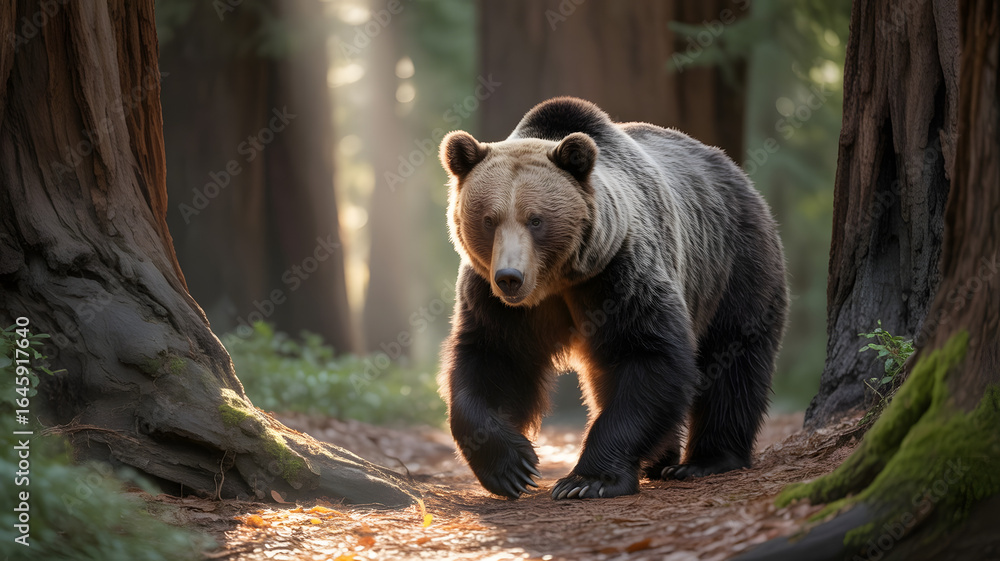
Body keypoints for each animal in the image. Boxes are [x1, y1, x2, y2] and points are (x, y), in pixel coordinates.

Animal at [437, 97, 788, 500]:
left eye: (536, 220)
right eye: (489, 219)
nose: (510, 277)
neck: (556, 282)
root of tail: (737, 173)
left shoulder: (617, 273)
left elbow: (647, 355)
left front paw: (585, 480)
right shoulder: (496, 299)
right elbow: (493, 358)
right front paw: (513, 467)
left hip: (734, 263)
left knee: (733, 355)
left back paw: (705, 460)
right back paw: (660, 459)